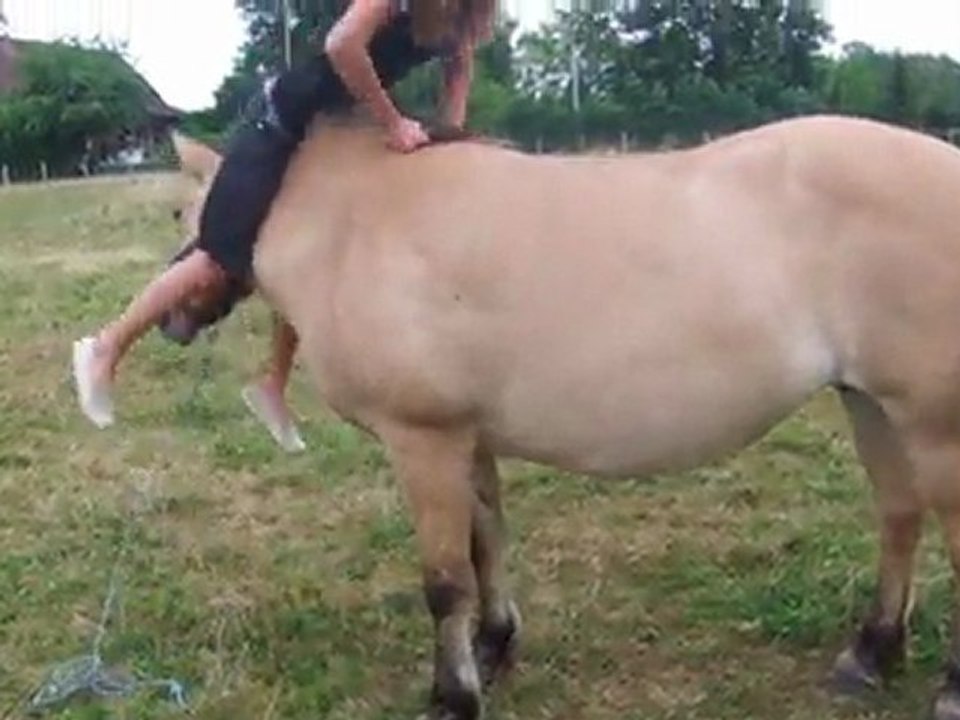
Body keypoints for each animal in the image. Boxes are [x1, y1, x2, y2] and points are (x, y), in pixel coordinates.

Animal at [163, 112, 960, 720]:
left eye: (184, 211)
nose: (172, 317)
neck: (359, 225)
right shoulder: (467, 440)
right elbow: (486, 545)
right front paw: (494, 647)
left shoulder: (422, 440)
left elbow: (444, 580)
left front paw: (453, 696)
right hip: (871, 403)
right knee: (899, 518)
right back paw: (871, 655)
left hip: (933, 425)